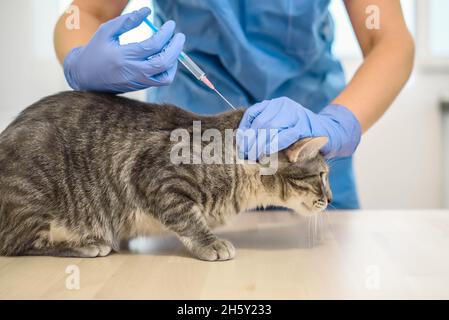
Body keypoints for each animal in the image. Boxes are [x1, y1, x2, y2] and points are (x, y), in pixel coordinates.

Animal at [0, 91, 328, 262]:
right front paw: (210, 243)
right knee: (18, 244)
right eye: (323, 176)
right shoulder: (157, 178)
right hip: (33, 195)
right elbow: (188, 218)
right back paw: (85, 244)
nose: (330, 197)